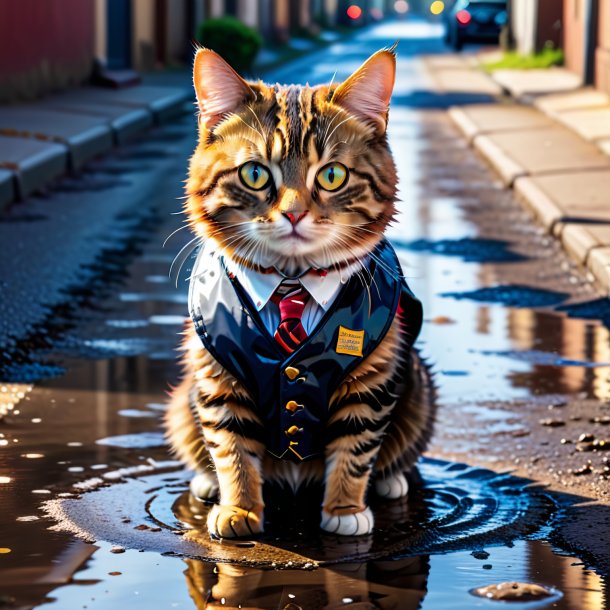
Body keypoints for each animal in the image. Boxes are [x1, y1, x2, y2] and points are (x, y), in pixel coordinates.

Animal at [164, 47, 434, 536]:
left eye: (332, 175)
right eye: (255, 174)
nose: (293, 214)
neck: (292, 280)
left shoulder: (372, 380)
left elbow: (356, 447)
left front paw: (344, 510)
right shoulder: (218, 376)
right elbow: (231, 448)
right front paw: (239, 509)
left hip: (417, 386)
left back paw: (392, 480)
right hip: (183, 398)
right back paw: (206, 483)